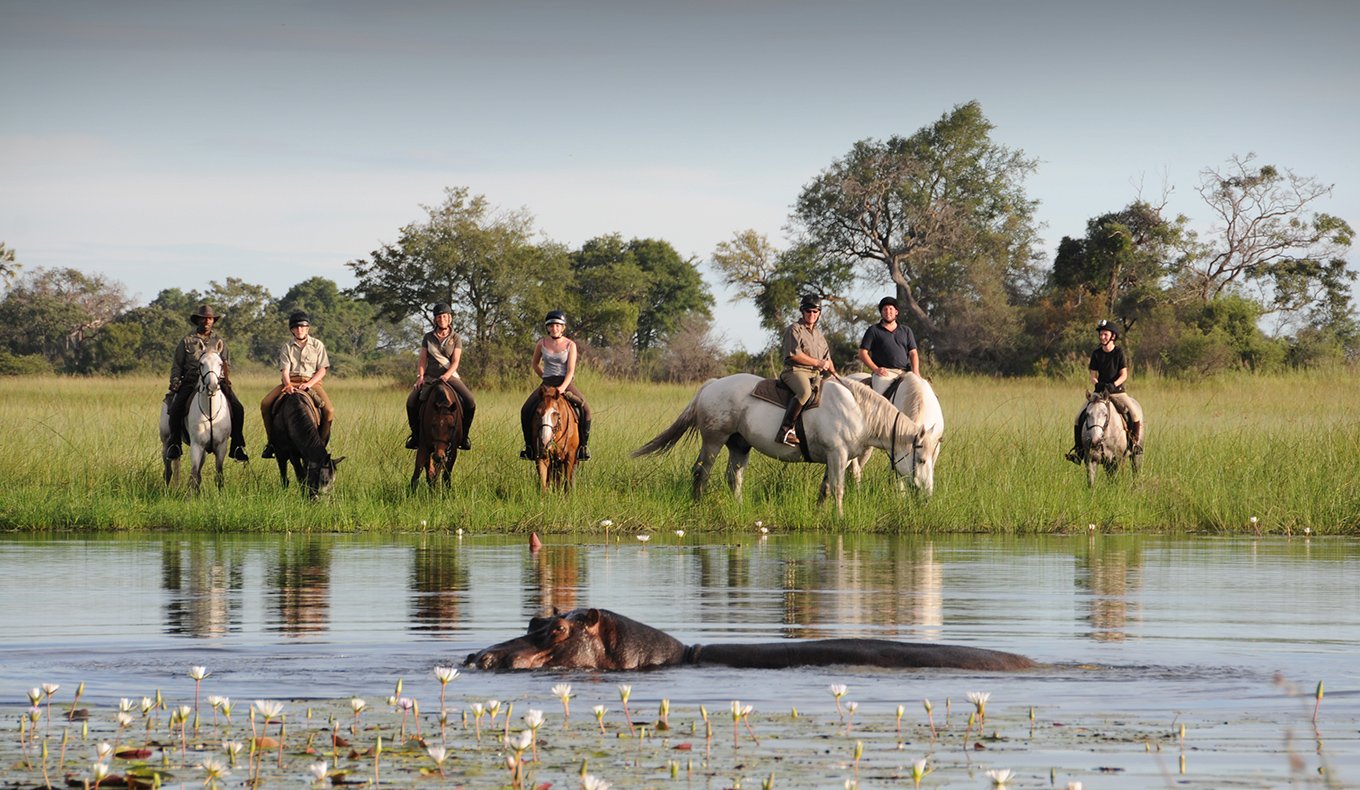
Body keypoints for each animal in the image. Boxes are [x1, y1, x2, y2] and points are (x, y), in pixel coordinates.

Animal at [160, 350, 232, 489]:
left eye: (220, 364)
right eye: (201, 363)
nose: (212, 386)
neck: (210, 413)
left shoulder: (221, 446)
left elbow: (218, 475)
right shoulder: (196, 445)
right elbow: (193, 475)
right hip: (166, 441)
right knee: (168, 470)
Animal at [633, 372, 924, 513]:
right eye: (921, 459)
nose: (925, 494)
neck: (856, 409)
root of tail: (712, 385)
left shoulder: (837, 458)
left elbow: (826, 489)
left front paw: (819, 514)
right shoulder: (838, 455)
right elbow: (838, 489)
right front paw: (839, 517)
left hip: (740, 445)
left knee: (734, 476)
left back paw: (740, 508)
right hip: (714, 440)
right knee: (701, 472)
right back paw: (698, 505)